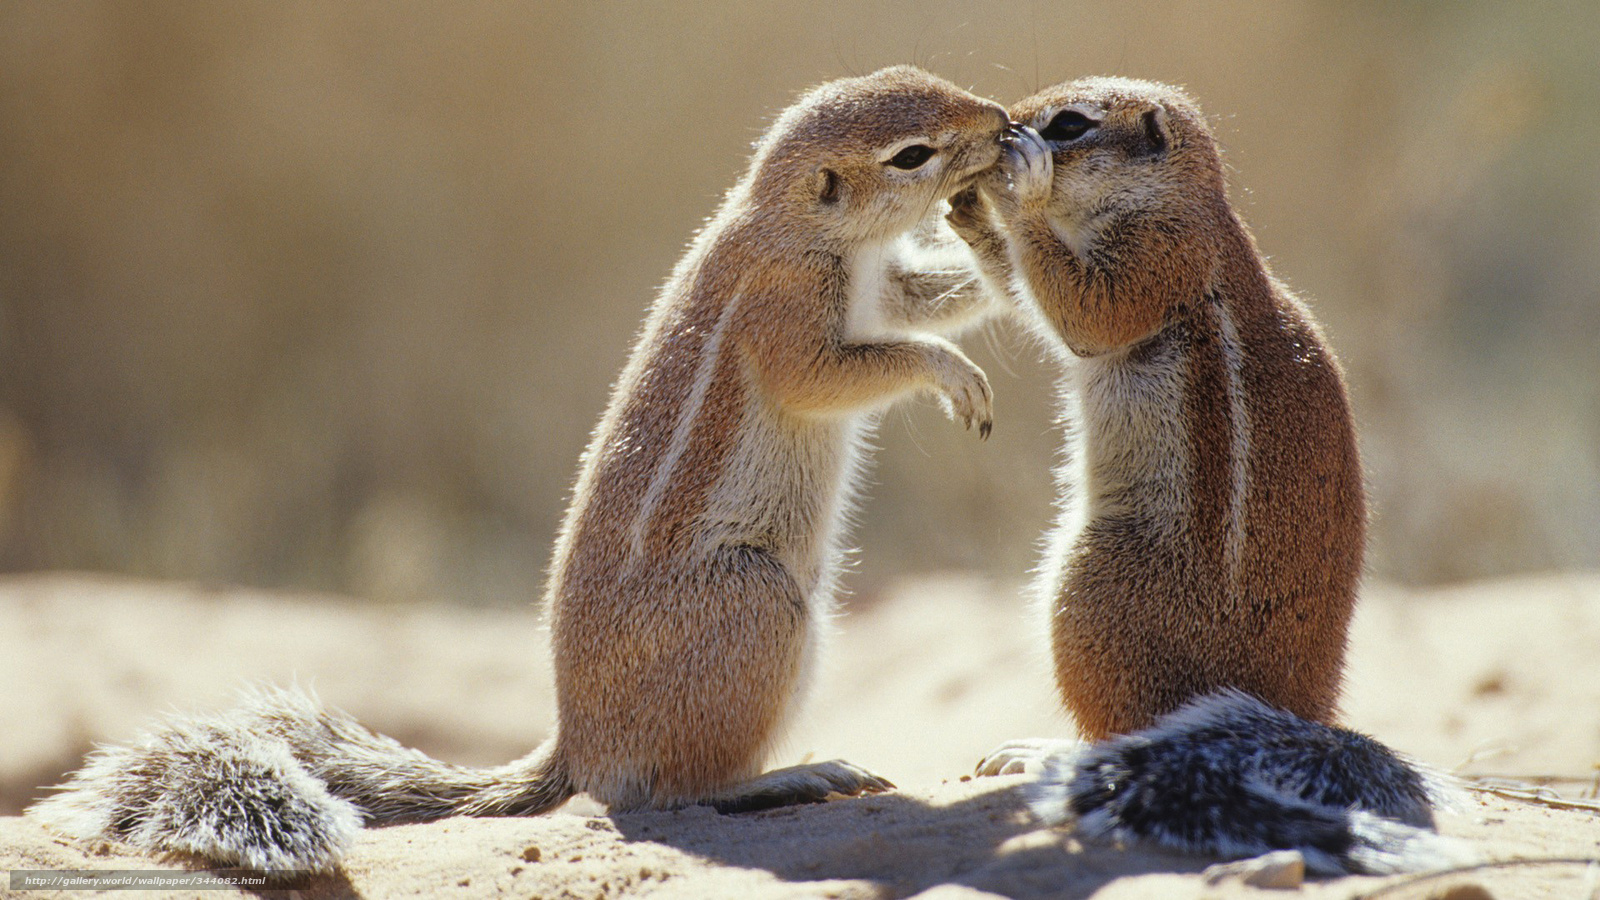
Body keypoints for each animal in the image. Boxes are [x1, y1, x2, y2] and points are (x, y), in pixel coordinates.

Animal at [30, 66, 1011, 872]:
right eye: (912, 153)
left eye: (932, 76)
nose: (1003, 121)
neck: (795, 221)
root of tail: (575, 741)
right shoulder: (788, 310)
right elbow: (835, 372)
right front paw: (953, 374)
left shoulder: (889, 284)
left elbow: (933, 297)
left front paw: (1002, 257)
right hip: (759, 604)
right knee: (663, 791)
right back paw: (789, 777)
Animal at [945, 77, 1464, 875]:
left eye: (1069, 125)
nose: (1002, 129)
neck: (1179, 200)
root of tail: (1296, 714)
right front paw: (966, 210)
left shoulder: (1158, 260)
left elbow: (1085, 310)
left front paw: (1018, 184)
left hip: (1090, 588)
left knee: (1122, 727)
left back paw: (1041, 753)